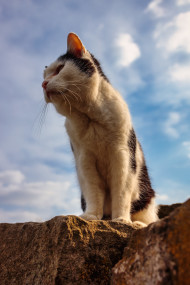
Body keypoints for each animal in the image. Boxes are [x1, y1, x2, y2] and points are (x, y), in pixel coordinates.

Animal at [42, 31, 159, 226]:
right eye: (43, 76)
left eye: (60, 68)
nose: (43, 84)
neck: (89, 116)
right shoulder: (85, 160)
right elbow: (94, 193)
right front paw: (91, 217)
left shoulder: (122, 156)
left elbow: (121, 193)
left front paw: (121, 220)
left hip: (147, 197)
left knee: (149, 218)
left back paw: (136, 223)